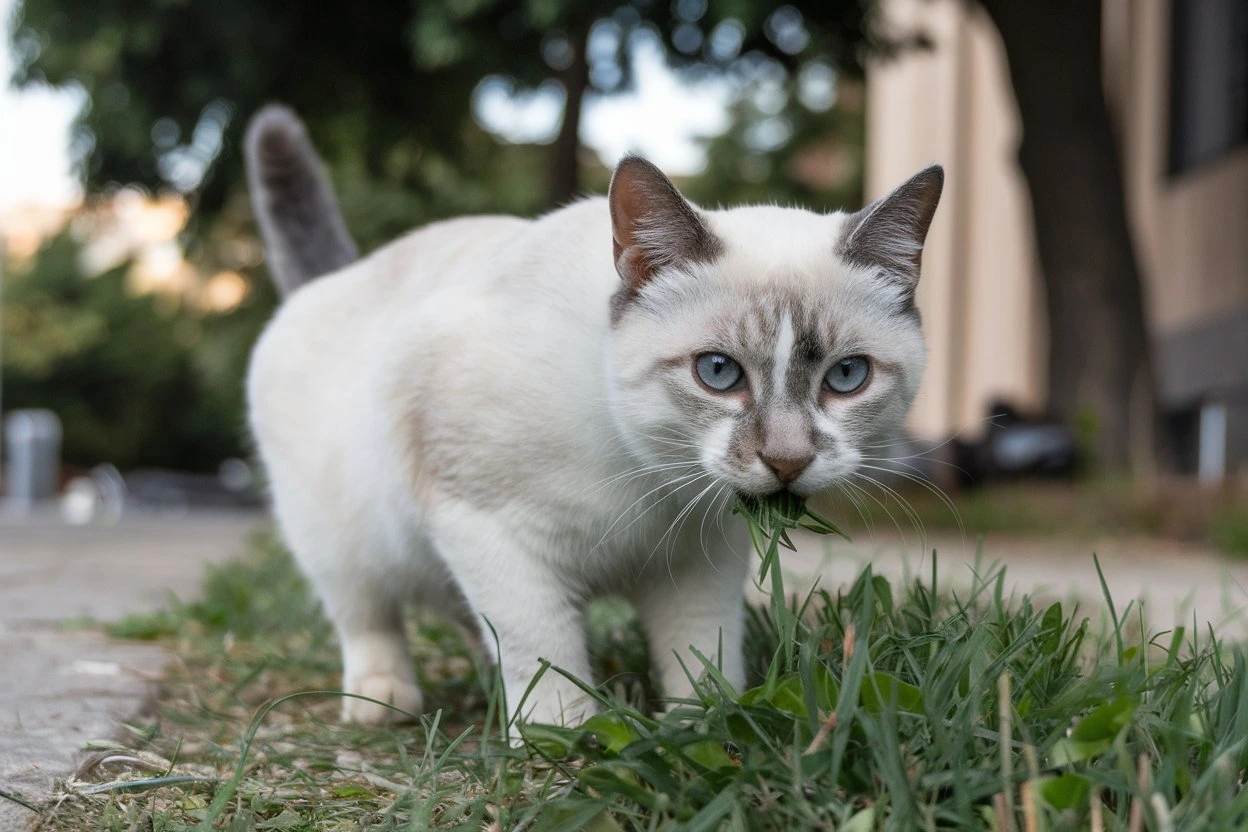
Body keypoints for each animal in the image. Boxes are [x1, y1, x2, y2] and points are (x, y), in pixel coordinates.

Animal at [245, 104, 943, 733]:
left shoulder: (699, 565)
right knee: (369, 615)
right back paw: (383, 701)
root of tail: (338, 273)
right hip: (341, 541)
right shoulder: (490, 532)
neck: (650, 482)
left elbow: (702, 657)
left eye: (846, 377)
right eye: (718, 372)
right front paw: (563, 739)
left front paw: (705, 724)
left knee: (460, 611)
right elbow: (541, 648)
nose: (788, 460)